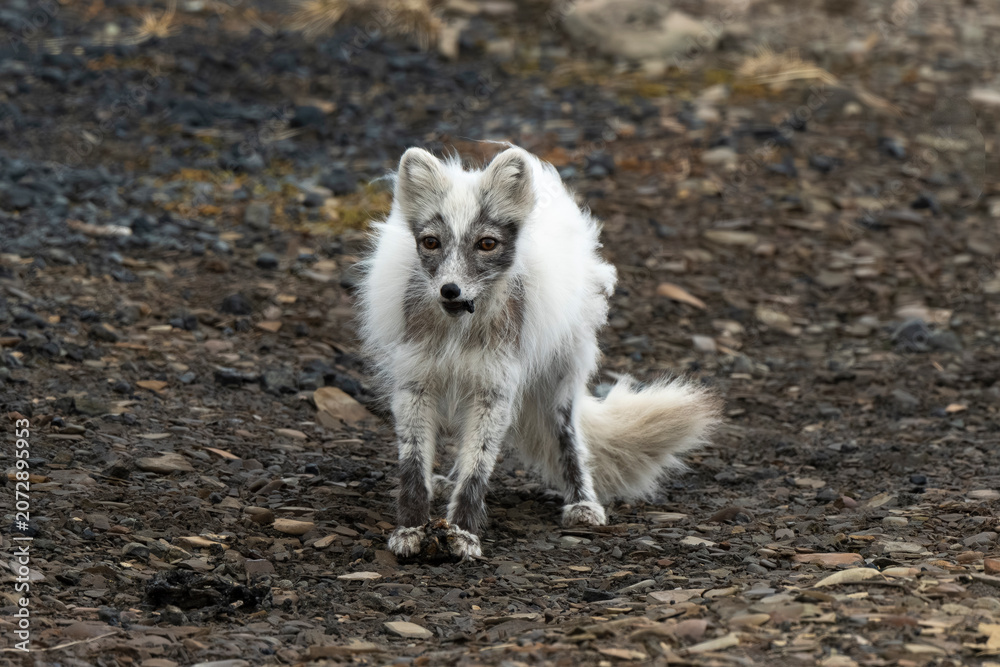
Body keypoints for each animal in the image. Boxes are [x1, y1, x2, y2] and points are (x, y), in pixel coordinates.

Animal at [356, 145, 721, 559]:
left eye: (487, 243)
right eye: (431, 242)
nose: (450, 291)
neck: (459, 332)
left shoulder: (497, 388)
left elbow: (478, 467)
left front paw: (464, 533)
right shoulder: (415, 384)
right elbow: (415, 466)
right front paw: (412, 529)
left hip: (558, 382)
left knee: (569, 437)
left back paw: (582, 502)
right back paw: (446, 483)